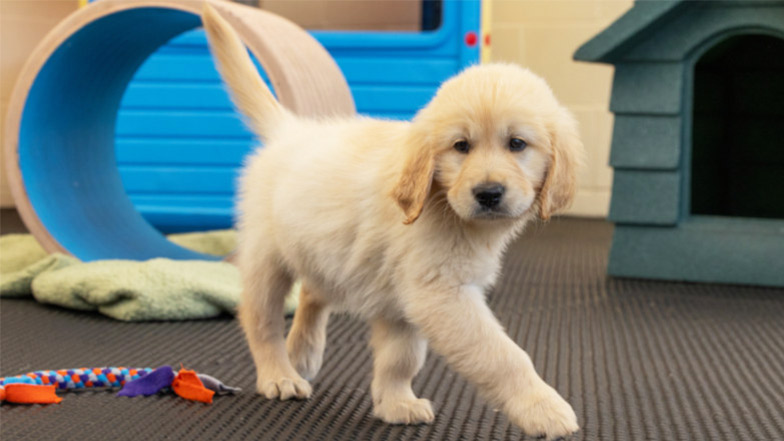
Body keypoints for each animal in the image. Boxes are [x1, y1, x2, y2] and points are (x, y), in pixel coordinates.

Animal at [202, 5, 580, 438]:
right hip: (267, 257)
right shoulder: (441, 293)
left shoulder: (403, 301)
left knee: (313, 293)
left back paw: (304, 352)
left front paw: (396, 402)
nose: (488, 193)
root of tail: (289, 130)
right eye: (461, 146)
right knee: (259, 318)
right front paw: (543, 407)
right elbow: (502, 355)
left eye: (517, 144)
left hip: (330, 254)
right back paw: (279, 374)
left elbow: (401, 358)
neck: (442, 203)